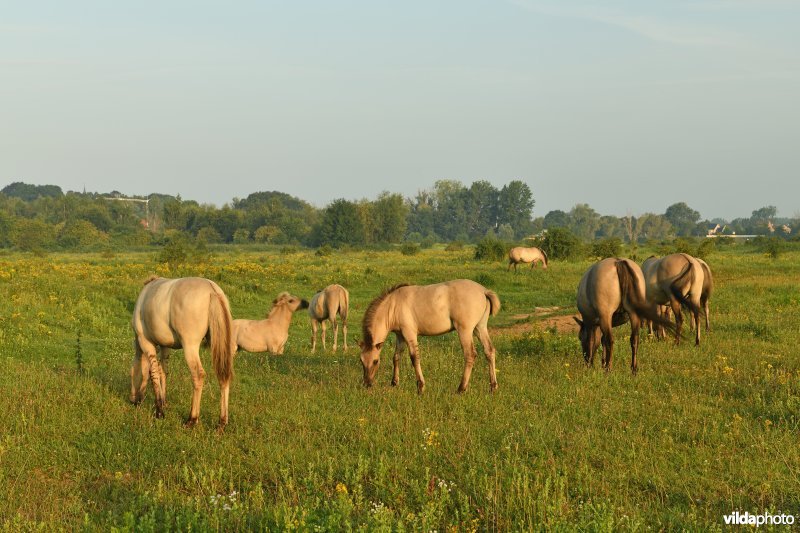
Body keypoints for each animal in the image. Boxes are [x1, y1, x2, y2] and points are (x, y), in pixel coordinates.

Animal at [131, 274, 234, 428]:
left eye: (131, 373)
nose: (132, 400)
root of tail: (212, 290)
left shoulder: (146, 343)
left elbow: (153, 373)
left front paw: (159, 411)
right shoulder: (165, 346)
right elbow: (163, 372)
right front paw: (163, 402)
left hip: (190, 347)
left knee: (198, 375)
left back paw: (192, 419)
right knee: (223, 377)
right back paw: (222, 422)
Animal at [360, 280, 500, 392]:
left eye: (375, 361)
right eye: (361, 361)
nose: (367, 383)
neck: (393, 305)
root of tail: (483, 291)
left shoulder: (409, 334)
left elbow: (414, 358)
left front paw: (420, 386)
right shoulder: (400, 336)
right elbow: (396, 357)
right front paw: (394, 382)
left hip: (464, 331)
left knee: (470, 355)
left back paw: (461, 388)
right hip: (480, 328)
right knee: (489, 351)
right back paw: (493, 387)